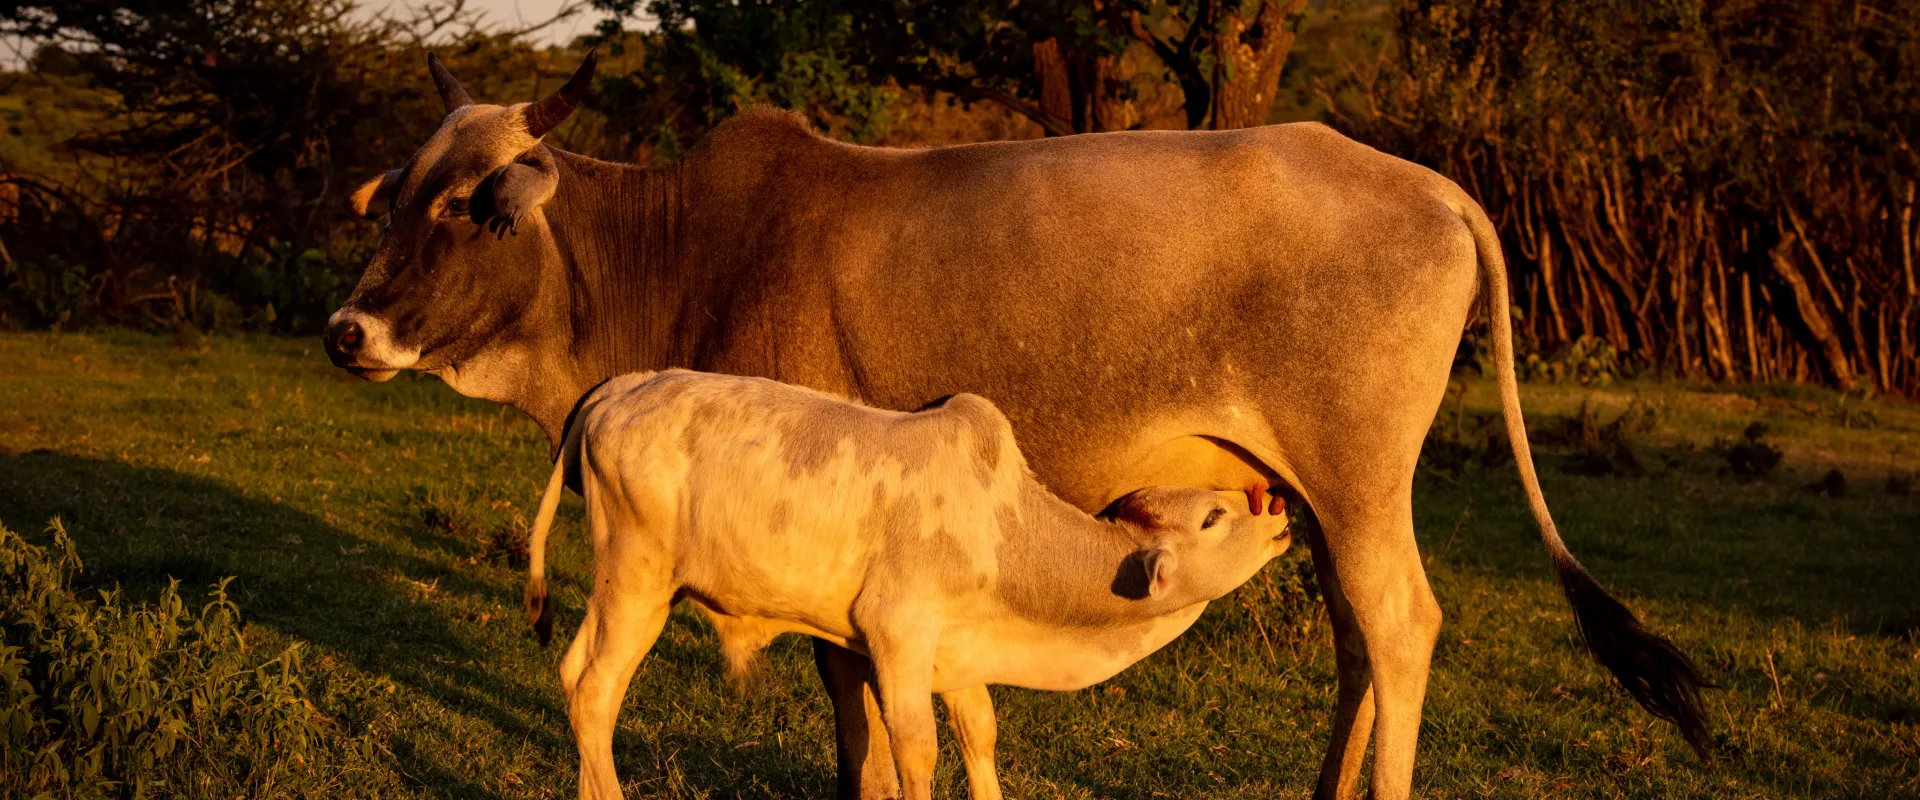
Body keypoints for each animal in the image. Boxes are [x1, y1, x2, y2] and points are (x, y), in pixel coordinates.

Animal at [522, 369, 1294, 800]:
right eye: (1215, 516)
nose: (1282, 509)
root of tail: (620, 386)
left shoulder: (957, 649)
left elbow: (979, 734)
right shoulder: (896, 636)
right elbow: (916, 752)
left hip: (613, 587)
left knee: (570, 674)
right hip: (639, 585)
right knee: (595, 694)